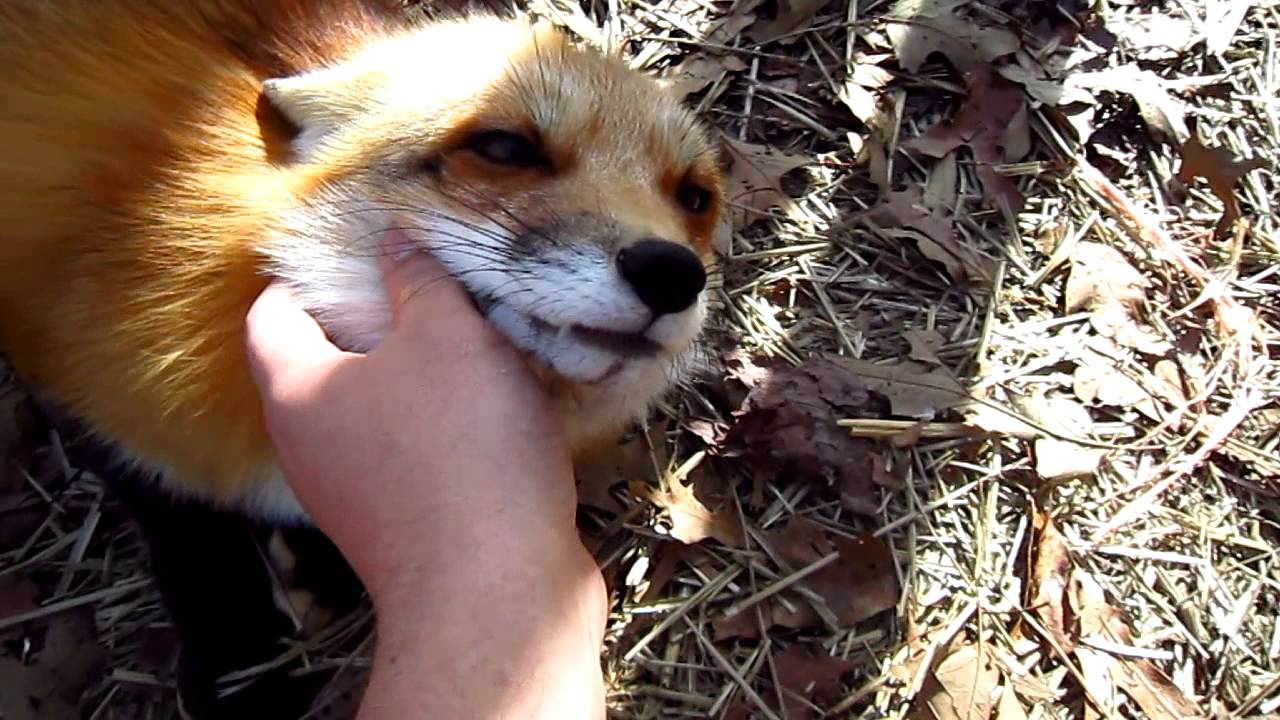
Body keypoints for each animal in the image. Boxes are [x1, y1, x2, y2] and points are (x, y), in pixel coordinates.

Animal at [0, 0, 724, 716]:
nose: (672, 274)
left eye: (694, 197)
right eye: (505, 148)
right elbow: (196, 543)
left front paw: (325, 565)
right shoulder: (84, 388)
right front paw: (242, 669)